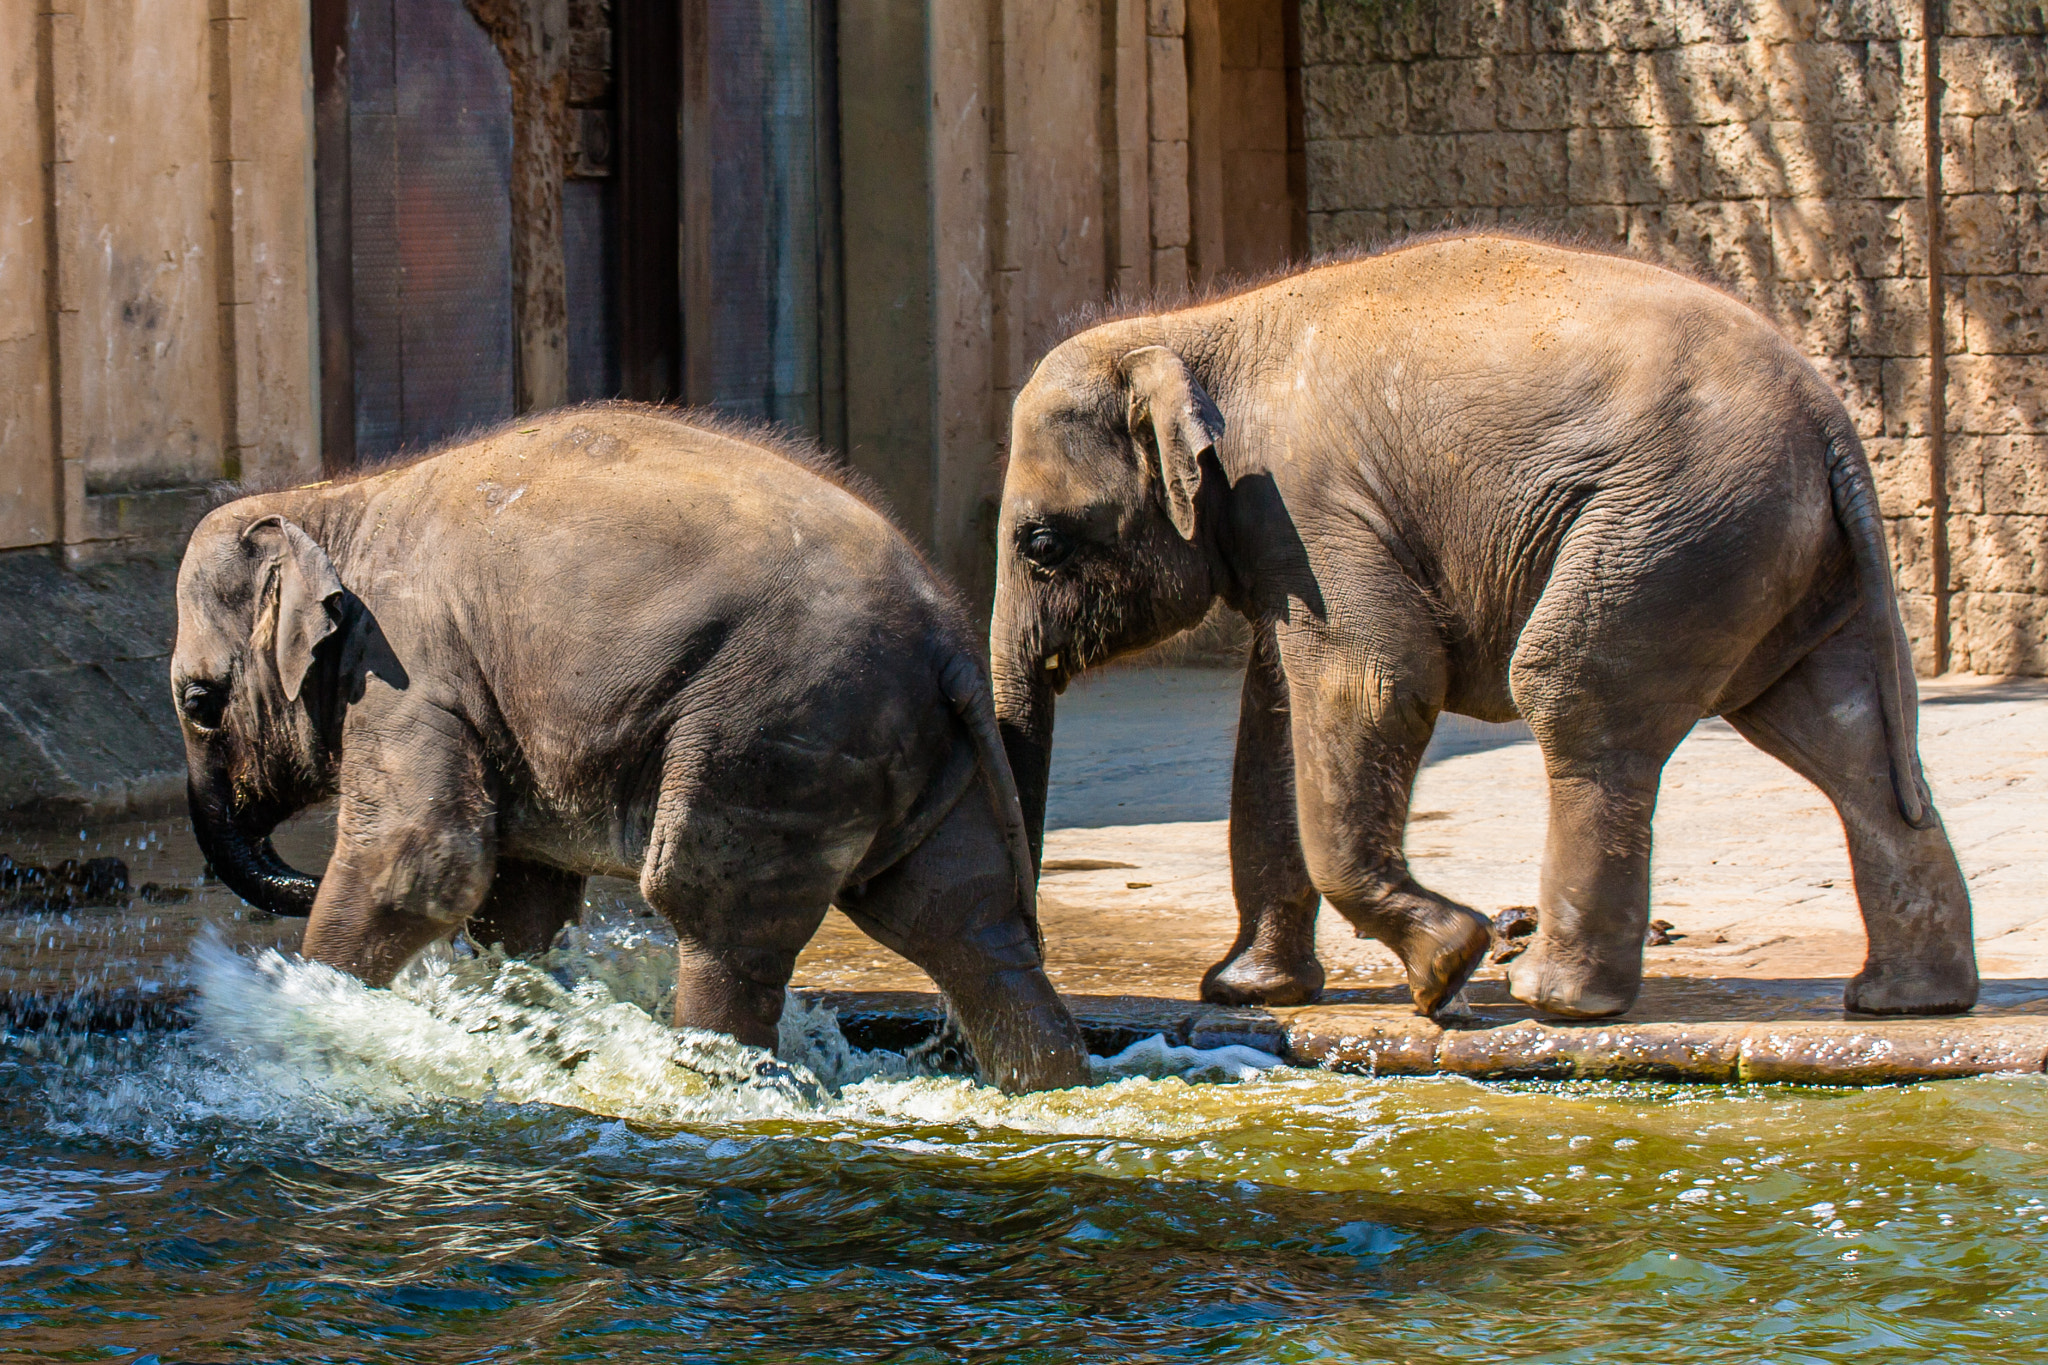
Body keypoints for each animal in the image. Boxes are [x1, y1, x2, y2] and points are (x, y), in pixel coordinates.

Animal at [171, 404, 1089, 1092]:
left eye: (199, 703)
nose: (291, 873)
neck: (334, 499)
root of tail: (948, 638)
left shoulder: (409, 671)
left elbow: (420, 861)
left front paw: (305, 1013)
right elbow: (518, 898)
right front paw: (524, 1022)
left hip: (778, 731)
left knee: (715, 912)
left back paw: (714, 1083)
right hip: (911, 751)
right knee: (963, 921)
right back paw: (1050, 1085)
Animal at [990, 233, 1976, 1022]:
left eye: (1041, 545)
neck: (1195, 328)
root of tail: (1830, 419)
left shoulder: (1310, 502)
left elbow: (1371, 681)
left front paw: (1446, 964)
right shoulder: (1286, 535)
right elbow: (1275, 718)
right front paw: (1249, 992)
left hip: (1677, 528)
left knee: (1576, 696)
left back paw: (1552, 998)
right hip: (1763, 548)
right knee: (1840, 738)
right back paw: (1906, 1001)